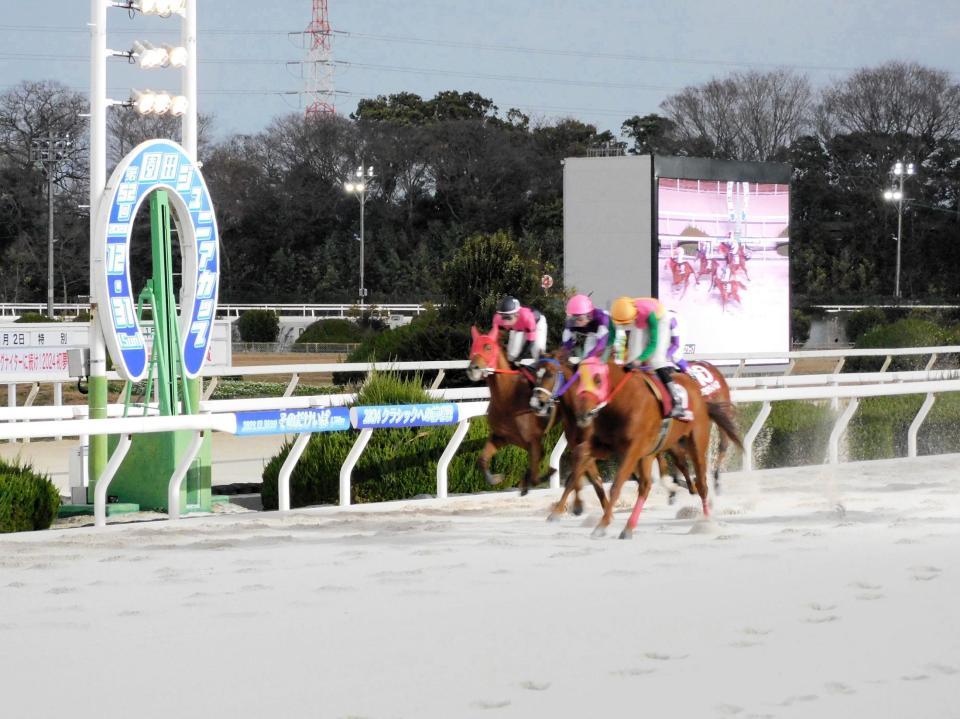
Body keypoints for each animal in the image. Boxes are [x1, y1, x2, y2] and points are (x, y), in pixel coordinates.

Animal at [468, 326, 560, 496]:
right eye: (473, 347)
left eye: (488, 347)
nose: (472, 369)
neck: (508, 396)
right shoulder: (501, 437)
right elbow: (482, 460)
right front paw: (496, 478)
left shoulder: (533, 441)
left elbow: (536, 471)